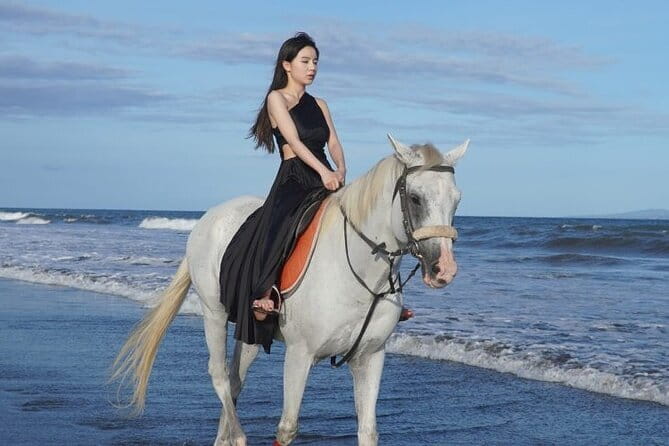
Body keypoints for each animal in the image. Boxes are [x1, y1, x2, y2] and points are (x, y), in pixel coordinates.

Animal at [111, 134, 468, 445]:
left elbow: (368, 431)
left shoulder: (370, 357)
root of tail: (206, 220)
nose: (444, 270)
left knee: (235, 379)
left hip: (250, 329)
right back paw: (237, 436)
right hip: (214, 314)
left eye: (456, 199)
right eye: (415, 199)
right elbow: (287, 428)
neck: (358, 272)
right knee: (219, 374)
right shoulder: (300, 354)